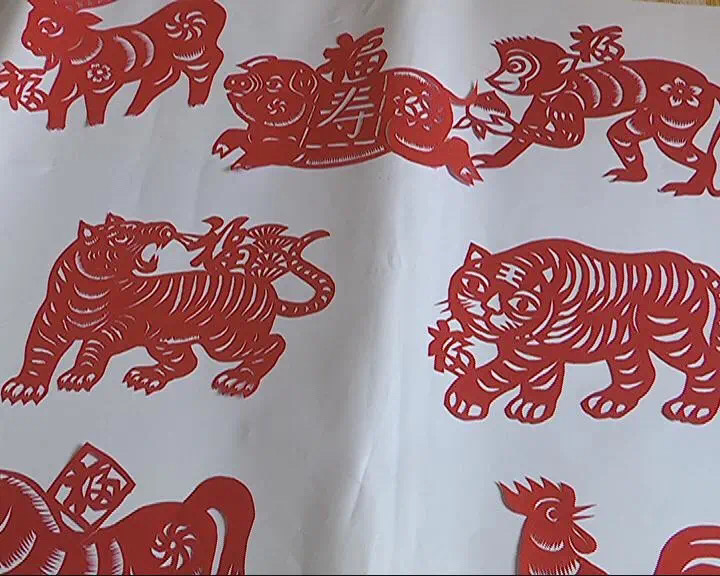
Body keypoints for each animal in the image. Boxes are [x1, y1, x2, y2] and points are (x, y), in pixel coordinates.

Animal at [1, 213, 335, 405]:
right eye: (123, 234)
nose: (164, 228)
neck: (89, 292)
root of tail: (262, 282)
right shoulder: (49, 326)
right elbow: (37, 355)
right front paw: (24, 386)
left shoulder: (126, 323)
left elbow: (95, 343)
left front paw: (78, 375)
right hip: (166, 342)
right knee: (187, 362)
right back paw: (147, 376)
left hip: (225, 340)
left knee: (274, 343)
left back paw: (238, 379)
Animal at [429, 238, 720, 425]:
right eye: (475, 285)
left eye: (520, 303)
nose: (490, 307)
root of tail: (695, 267)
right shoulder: (539, 350)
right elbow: (543, 380)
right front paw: (531, 407)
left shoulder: (529, 352)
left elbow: (494, 374)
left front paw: (465, 398)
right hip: (625, 344)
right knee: (638, 374)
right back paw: (608, 403)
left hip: (672, 335)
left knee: (704, 366)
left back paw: (692, 408)